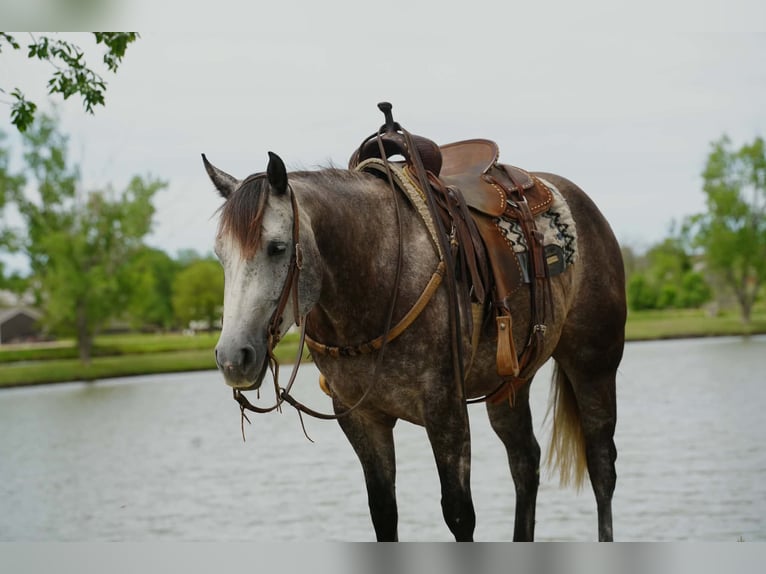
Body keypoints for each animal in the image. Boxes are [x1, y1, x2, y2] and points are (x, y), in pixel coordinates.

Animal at [203, 137, 626, 541]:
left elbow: (459, 513)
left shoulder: (445, 410)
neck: (377, 273)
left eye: (276, 247)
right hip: (510, 384)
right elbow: (383, 513)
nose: (233, 357)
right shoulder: (360, 417)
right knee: (525, 461)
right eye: (220, 254)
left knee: (601, 465)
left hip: (593, 365)